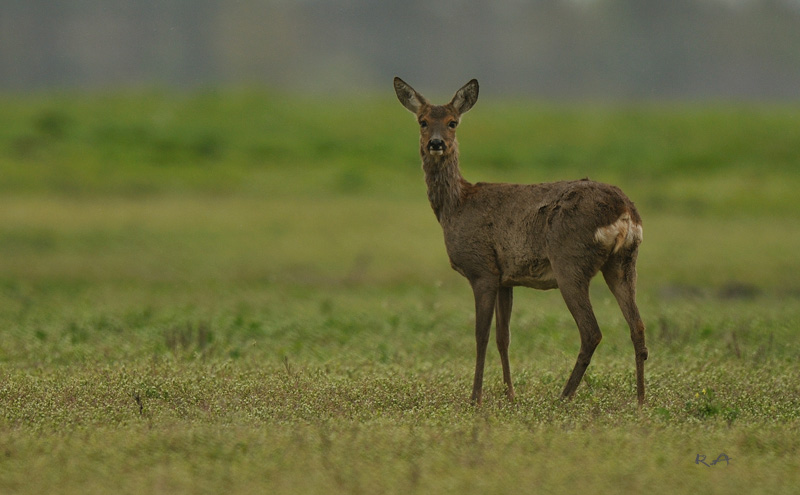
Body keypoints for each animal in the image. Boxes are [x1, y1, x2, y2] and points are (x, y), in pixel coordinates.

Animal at [394, 77, 648, 408]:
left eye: (453, 122)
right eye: (423, 121)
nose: (436, 143)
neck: (456, 206)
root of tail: (625, 211)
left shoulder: (482, 269)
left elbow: (481, 335)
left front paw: (475, 397)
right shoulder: (506, 278)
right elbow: (504, 336)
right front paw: (510, 393)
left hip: (570, 261)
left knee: (591, 332)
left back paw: (563, 396)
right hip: (624, 262)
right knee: (637, 326)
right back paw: (641, 400)